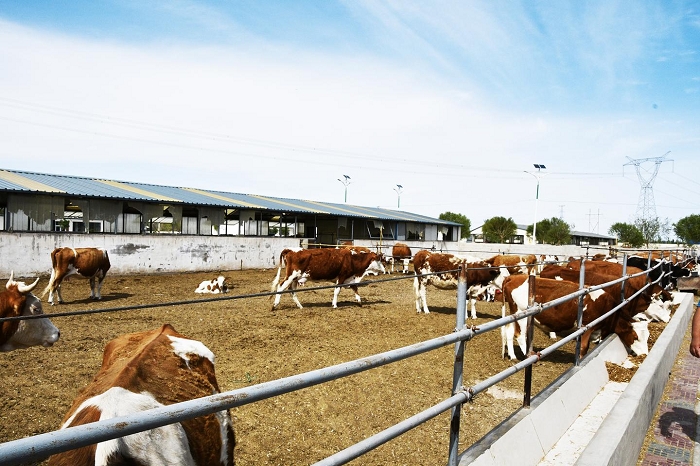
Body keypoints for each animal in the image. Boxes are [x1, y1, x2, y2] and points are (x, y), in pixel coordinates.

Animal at [500, 276, 648, 360]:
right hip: (522, 316)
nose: (644, 355)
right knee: (519, 335)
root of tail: (513, 277)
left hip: (514, 314)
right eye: (636, 337)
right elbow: (583, 348)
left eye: (647, 337)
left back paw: (512, 356)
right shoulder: (586, 327)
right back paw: (527, 356)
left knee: (509, 332)